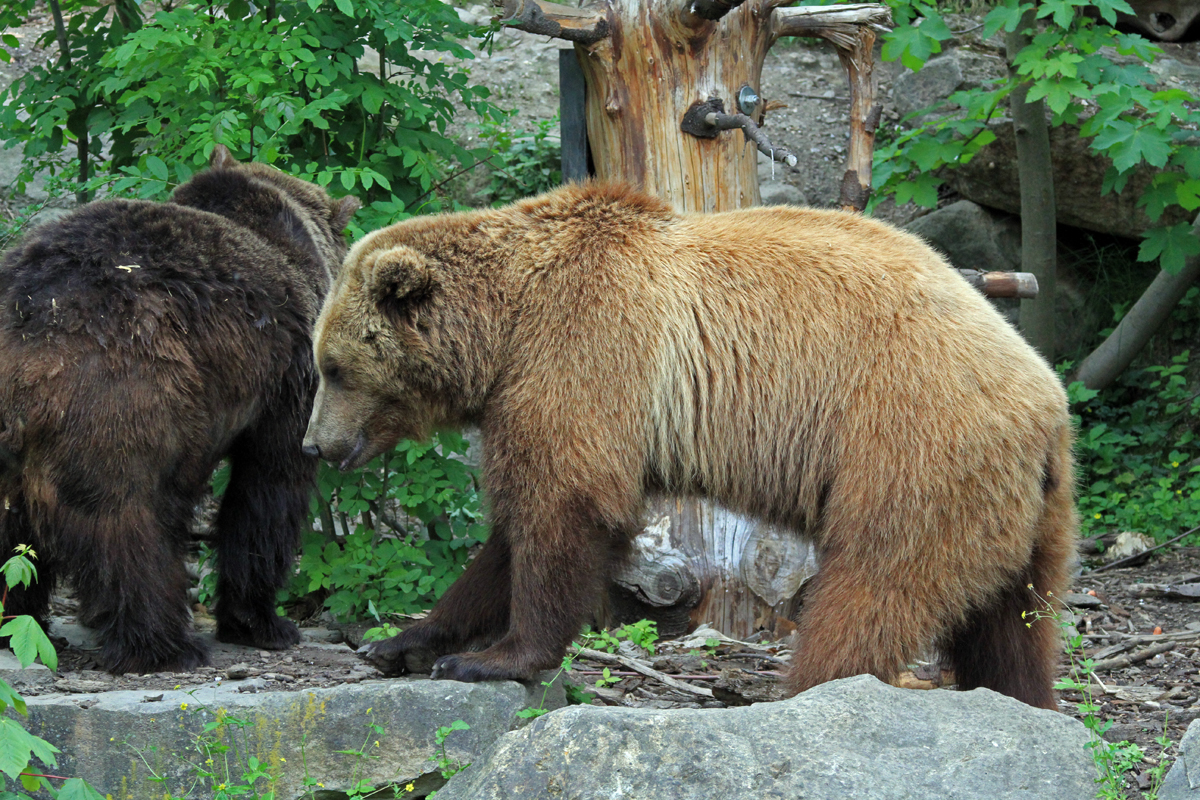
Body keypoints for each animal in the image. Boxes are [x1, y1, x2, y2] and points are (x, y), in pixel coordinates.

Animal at [0, 146, 355, 671]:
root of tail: (24, 330)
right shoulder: (283, 379)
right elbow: (267, 489)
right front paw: (263, 622)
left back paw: (19, 625)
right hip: (119, 394)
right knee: (126, 519)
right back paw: (164, 644)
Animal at [300, 181, 1080, 705]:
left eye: (333, 367)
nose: (314, 445)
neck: (505, 326)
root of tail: (1046, 401)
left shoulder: (583, 349)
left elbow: (563, 508)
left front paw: (495, 658)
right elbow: (510, 535)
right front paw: (401, 642)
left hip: (911, 445)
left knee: (874, 587)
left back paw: (801, 689)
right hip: (1028, 512)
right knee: (1013, 627)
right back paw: (1023, 699)